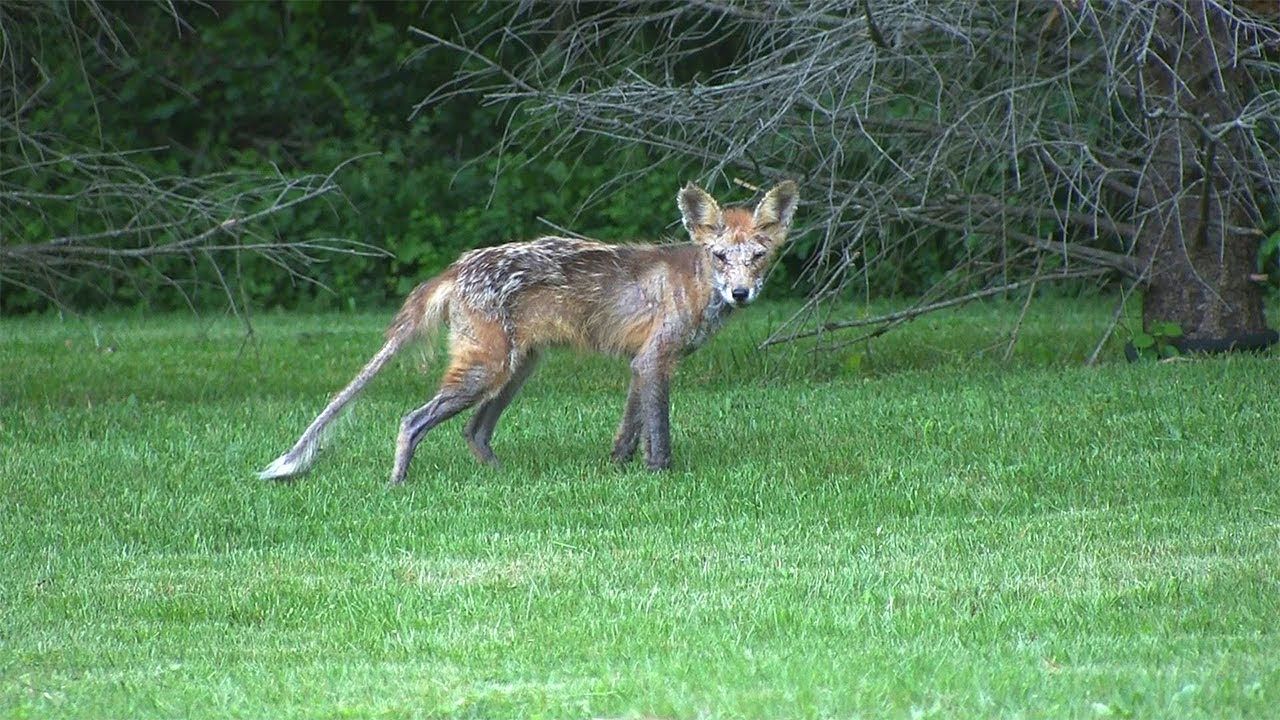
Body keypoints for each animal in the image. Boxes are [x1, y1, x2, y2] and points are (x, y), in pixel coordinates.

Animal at [257, 178, 798, 481]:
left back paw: (502, 482)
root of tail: (458, 264)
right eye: (721, 257)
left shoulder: (641, 364)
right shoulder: (654, 360)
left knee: (474, 433)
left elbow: (628, 433)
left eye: (757, 257)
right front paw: (661, 480)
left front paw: (617, 472)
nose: (741, 293)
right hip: (487, 371)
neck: (693, 284)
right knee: (412, 421)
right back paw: (398, 485)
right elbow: (658, 434)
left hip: (517, 370)